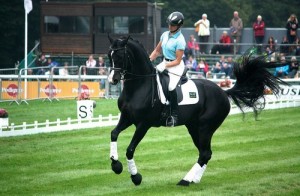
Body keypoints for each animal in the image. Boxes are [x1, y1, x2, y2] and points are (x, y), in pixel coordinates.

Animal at [107, 35, 286, 187]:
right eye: (110, 56)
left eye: (120, 57)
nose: (112, 80)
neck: (139, 86)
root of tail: (224, 92)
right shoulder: (127, 117)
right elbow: (113, 133)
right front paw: (115, 164)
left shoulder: (144, 124)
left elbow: (130, 150)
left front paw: (135, 177)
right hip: (194, 127)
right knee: (205, 152)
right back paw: (194, 179)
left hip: (205, 127)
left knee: (205, 153)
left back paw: (185, 180)